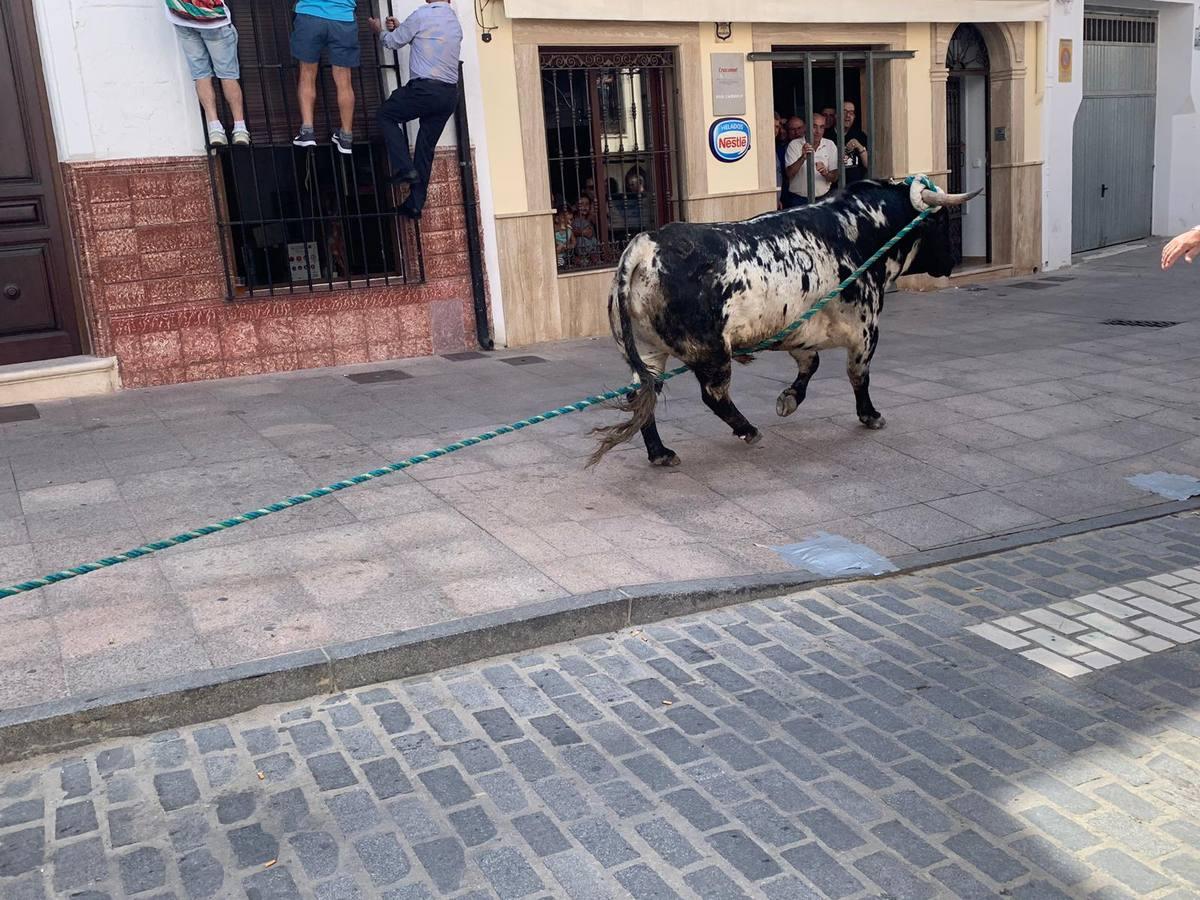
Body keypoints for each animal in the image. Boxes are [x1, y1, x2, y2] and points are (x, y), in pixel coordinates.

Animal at [588, 180, 974, 468]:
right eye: (940, 222)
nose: (952, 260)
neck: (858, 228)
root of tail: (645, 245)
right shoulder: (866, 330)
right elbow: (858, 376)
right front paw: (870, 415)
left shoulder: (800, 330)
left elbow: (810, 365)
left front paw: (789, 399)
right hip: (711, 354)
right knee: (713, 395)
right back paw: (747, 430)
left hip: (650, 351)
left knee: (644, 394)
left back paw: (660, 453)